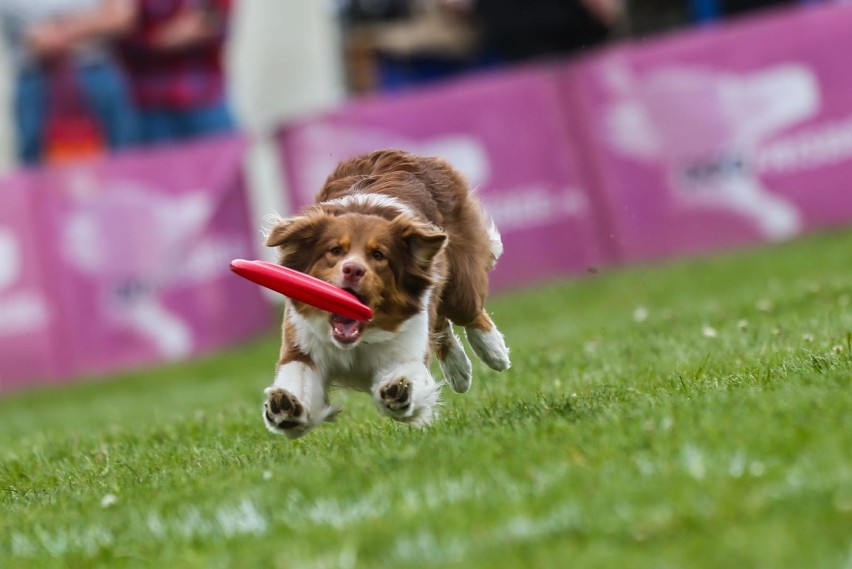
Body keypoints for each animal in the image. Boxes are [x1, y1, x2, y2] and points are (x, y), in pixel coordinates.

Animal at [262, 149, 510, 438]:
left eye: (379, 255)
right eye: (335, 250)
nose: (353, 270)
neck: (358, 339)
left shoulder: (406, 343)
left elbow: (408, 373)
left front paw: (399, 392)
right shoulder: (303, 343)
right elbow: (296, 375)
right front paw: (285, 407)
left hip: (459, 282)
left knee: (470, 313)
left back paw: (494, 352)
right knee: (441, 324)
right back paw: (459, 371)